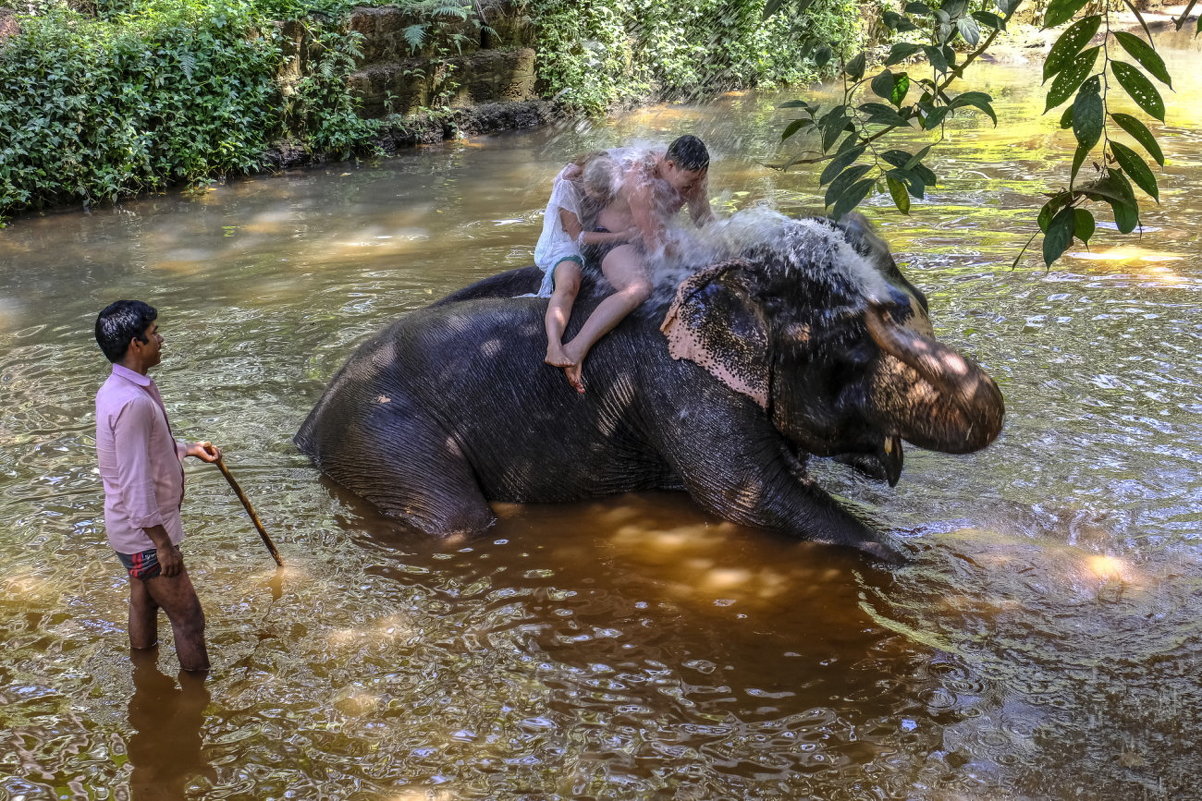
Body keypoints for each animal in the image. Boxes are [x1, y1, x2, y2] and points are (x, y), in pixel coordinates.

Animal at [293, 211, 1004, 560]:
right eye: (850, 340)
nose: (880, 300)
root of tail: (311, 420)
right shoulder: (679, 386)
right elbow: (749, 497)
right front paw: (913, 558)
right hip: (383, 432)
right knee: (456, 519)